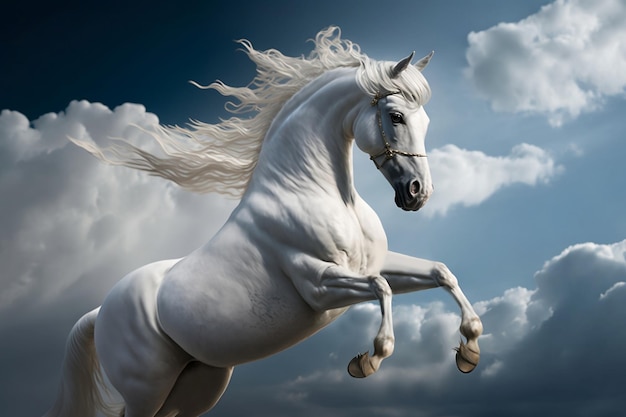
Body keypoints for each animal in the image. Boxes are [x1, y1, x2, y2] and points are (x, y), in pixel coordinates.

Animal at [44, 26, 482, 416]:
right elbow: (382, 289)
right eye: (395, 116)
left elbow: (440, 272)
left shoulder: (374, 264)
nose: (418, 193)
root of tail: (99, 312)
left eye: (425, 122)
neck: (313, 192)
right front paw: (368, 360)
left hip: (196, 387)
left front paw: (470, 347)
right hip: (146, 390)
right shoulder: (319, 286)